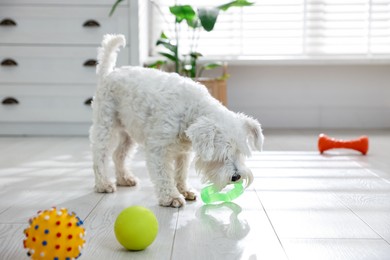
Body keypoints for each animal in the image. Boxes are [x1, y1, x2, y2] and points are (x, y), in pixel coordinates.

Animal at [90, 34, 264, 208]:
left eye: (240, 152)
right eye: (221, 154)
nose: (236, 177)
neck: (189, 110)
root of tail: (108, 75)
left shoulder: (183, 152)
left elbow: (181, 172)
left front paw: (184, 190)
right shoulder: (157, 149)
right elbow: (163, 174)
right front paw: (171, 197)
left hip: (128, 133)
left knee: (119, 155)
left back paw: (124, 178)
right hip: (105, 127)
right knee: (100, 155)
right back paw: (103, 184)